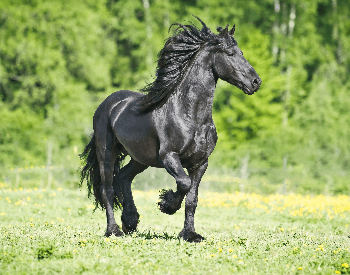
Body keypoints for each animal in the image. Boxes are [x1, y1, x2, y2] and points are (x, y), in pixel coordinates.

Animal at [79, 16, 260, 244]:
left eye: (241, 52)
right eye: (230, 54)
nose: (256, 82)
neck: (190, 116)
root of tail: (107, 105)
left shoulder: (201, 163)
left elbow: (192, 199)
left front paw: (190, 234)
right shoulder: (169, 156)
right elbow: (183, 183)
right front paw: (167, 204)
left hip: (140, 157)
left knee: (124, 177)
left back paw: (130, 221)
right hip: (107, 152)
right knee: (108, 189)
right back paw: (114, 230)